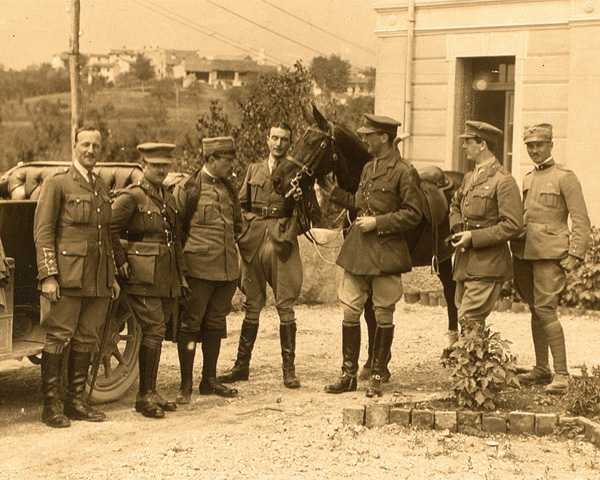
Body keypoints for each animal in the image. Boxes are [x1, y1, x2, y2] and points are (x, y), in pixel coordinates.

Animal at [272, 104, 464, 376]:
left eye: (310, 142)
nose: (277, 180)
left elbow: (377, 310)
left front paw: (379, 365)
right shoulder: (361, 263)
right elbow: (368, 314)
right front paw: (371, 362)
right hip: (445, 257)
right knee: (450, 294)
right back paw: (450, 350)